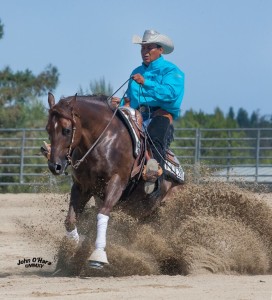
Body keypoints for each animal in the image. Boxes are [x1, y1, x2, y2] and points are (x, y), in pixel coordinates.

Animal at [45, 92, 185, 270]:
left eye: (67, 130)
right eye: (48, 129)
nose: (55, 166)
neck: (103, 141)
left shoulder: (116, 184)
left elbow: (102, 214)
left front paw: (97, 256)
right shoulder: (81, 187)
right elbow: (70, 220)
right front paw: (70, 250)